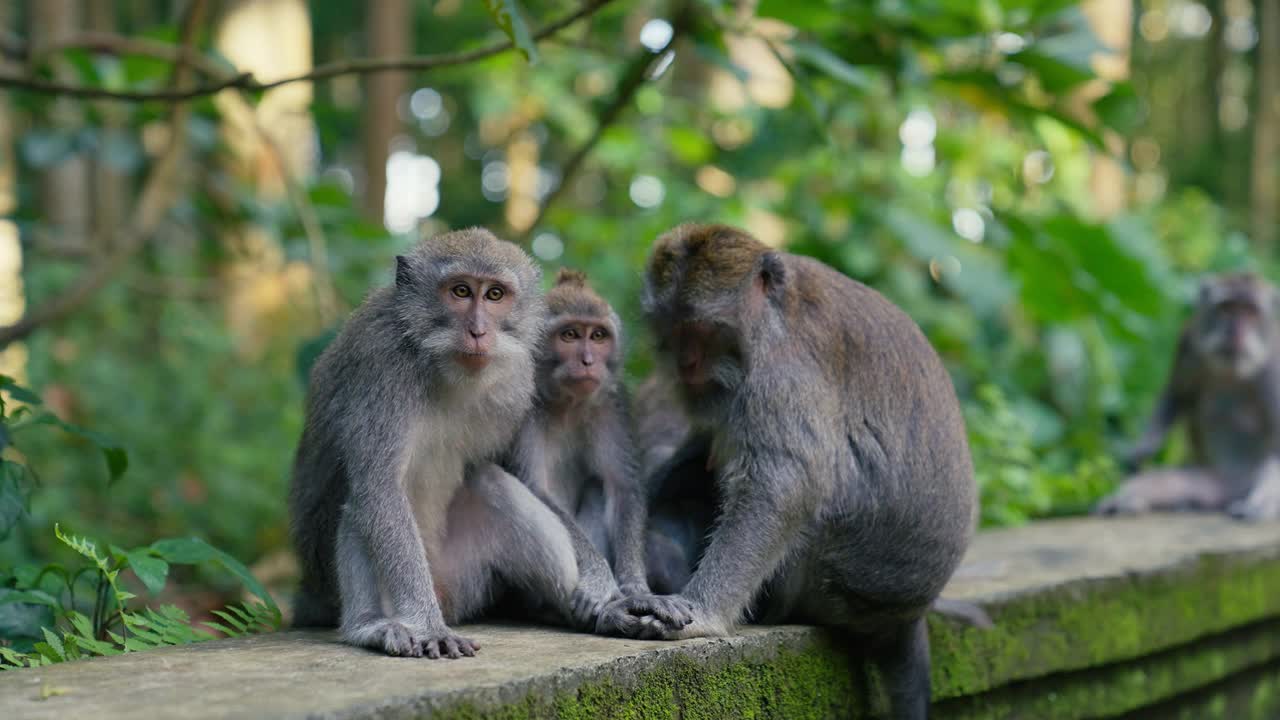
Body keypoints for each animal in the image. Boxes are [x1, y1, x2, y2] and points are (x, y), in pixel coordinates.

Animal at [290, 228, 609, 655]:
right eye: (460, 291)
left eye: (494, 295)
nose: (478, 331)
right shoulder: (381, 363)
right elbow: (380, 488)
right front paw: (428, 628)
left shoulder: (517, 383)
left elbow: (526, 479)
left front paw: (600, 578)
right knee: (360, 506)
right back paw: (370, 625)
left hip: (464, 576)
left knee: (491, 481)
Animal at [593, 221, 972, 712]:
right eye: (671, 329)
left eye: (701, 328)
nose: (685, 363)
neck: (773, 316)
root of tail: (909, 614)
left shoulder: (781, 375)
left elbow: (782, 486)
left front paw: (703, 615)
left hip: (829, 582)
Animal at [1095, 271, 1280, 517]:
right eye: (1226, 308)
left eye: (1251, 312)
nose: (1235, 333)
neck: (1231, 370)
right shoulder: (1189, 342)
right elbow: (1176, 393)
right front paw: (1144, 448)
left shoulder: (1273, 368)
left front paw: (1267, 498)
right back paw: (1131, 500)